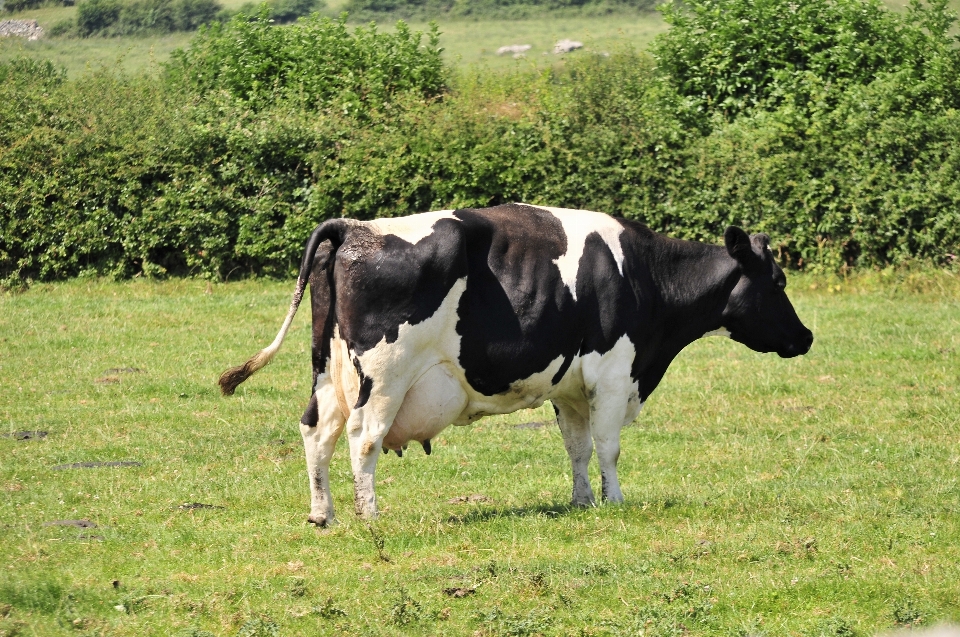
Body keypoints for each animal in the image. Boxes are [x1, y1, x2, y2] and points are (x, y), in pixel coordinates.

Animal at [221, 205, 812, 528]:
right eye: (778, 281)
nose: (806, 337)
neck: (644, 275)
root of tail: (354, 228)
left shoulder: (570, 387)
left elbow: (577, 447)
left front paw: (582, 502)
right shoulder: (613, 373)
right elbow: (608, 446)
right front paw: (616, 501)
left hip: (328, 371)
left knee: (315, 431)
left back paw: (323, 514)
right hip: (384, 375)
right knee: (363, 439)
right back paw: (370, 516)